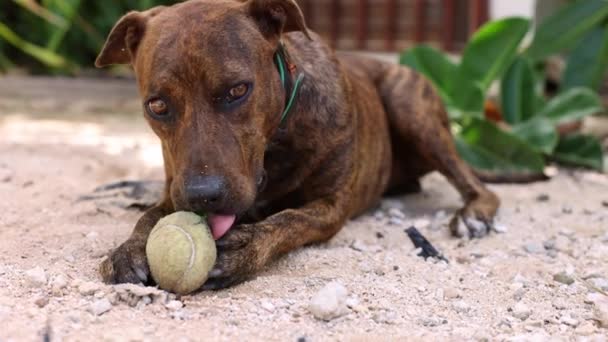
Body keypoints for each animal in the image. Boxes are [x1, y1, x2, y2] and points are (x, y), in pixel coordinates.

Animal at [97, 0, 498, 288]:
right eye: (157, 105)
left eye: (238, 90)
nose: (203, 196)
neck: (277, 142)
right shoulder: (175, 189)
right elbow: (150, 215)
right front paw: (129, 248)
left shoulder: (331, 206)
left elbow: (290, 220)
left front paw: (247, 246)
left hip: (412, 107)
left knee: (480, 187)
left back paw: (473, 215)